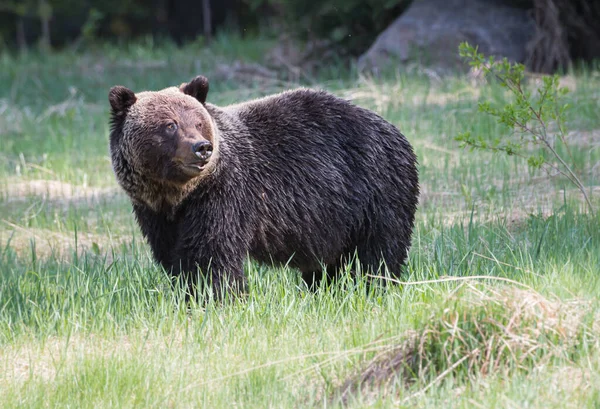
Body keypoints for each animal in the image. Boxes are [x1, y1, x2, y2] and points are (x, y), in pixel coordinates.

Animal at [106, 75, 418, 294]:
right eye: (170, 125)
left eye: (197, 122)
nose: (202, 147)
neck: (179, 194)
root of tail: (395, 130)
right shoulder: (155, 213)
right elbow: (173, 256)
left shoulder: (224, 194)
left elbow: (210, 253)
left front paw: (213, 297)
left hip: (375, 192)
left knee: (376, 253)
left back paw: (370, 287)